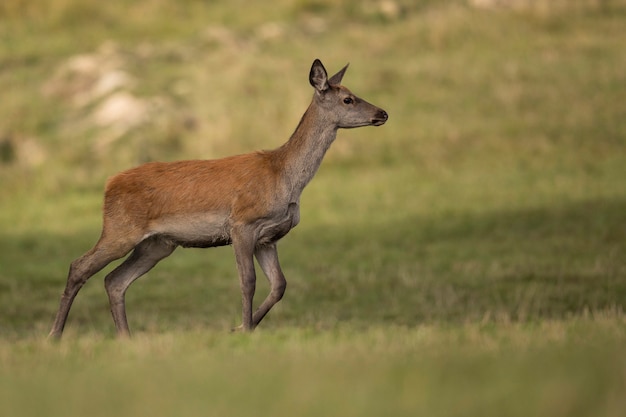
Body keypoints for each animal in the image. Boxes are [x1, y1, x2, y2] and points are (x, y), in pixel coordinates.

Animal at [48, 59, 388, 338]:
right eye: (348, 99)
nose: (382, 113)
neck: (284, 177)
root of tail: (109, 184)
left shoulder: (269, 237)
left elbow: (279, 285)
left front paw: (241, 327)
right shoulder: (242, 223)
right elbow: (248, 280)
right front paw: (245, 328)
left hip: (157, 244)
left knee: (114, 280)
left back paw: (125, 338)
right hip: (121, 229)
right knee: (79, 266)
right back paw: (55, 335)